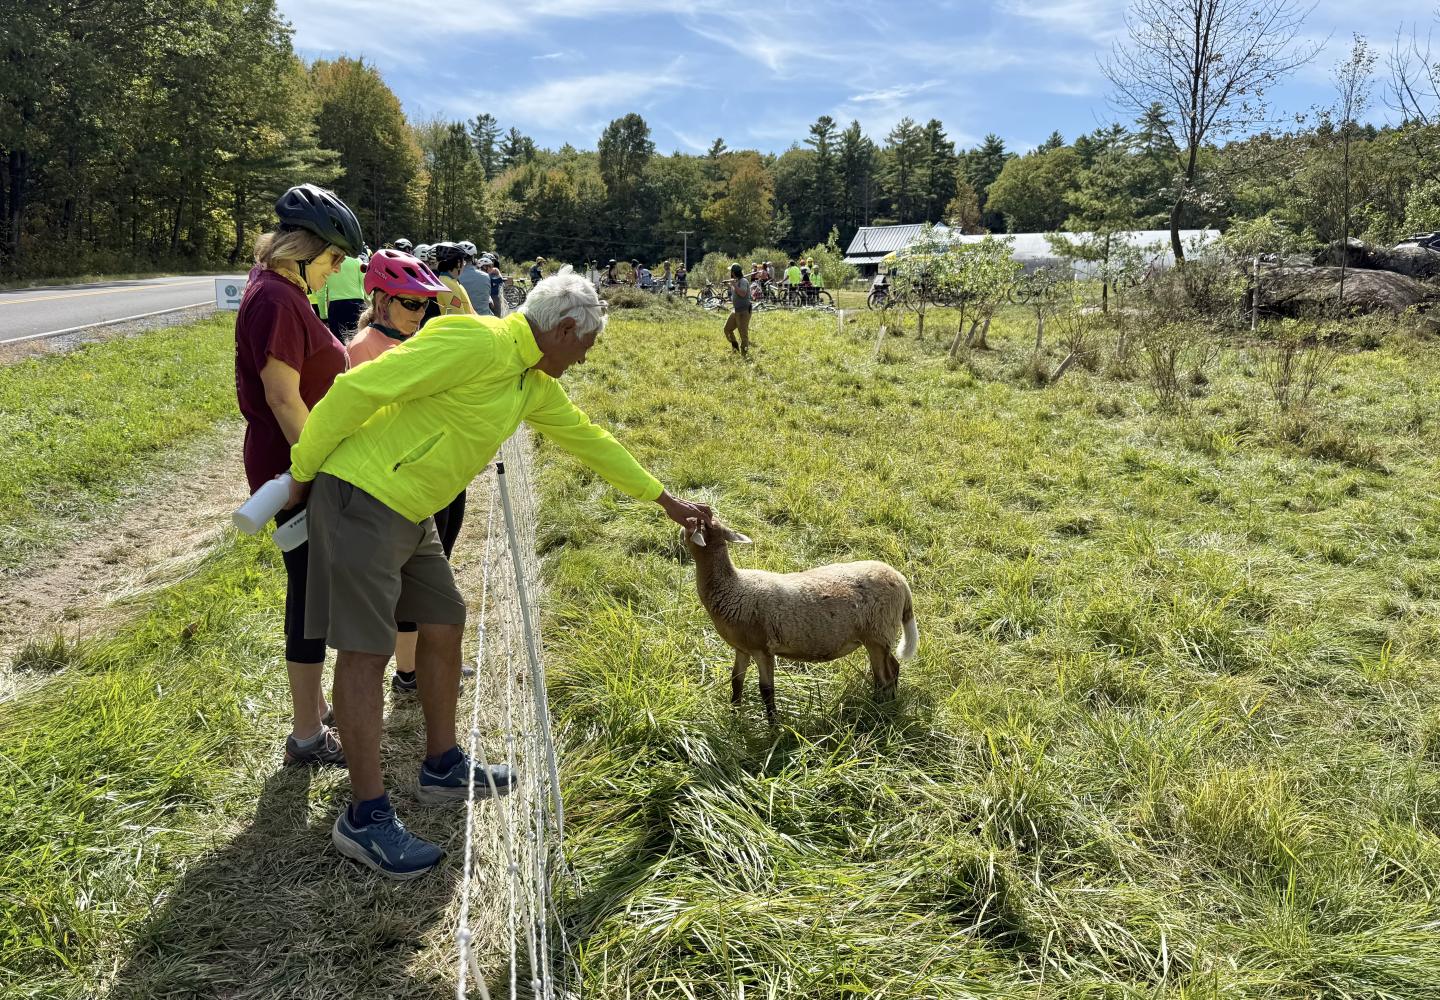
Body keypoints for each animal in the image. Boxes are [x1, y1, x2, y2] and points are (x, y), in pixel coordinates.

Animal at [683, 513, 919, 720]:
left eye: (694, 523)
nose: (686, 518)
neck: (733, 586)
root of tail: (901, 581)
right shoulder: (742, 648)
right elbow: (736, 681)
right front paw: (734, 717)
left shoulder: (762, 649)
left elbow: (766, 690)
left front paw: (773, 728)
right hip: (879, 636)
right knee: (892, 670)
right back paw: (884, 704)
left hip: (878, 633)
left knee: (885, 675)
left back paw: (880, 710)